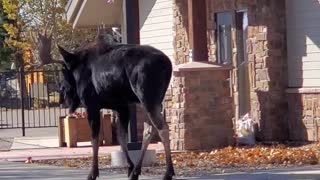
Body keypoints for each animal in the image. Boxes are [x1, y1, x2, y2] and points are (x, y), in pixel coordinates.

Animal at [57, 30, 175, 179]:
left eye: (63, 70)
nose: (61, 90)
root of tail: (168, 65)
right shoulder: (121, 106)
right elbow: (121, 137)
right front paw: (129, 166)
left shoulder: (91, 105)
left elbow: (94, 138)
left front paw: (93, 172)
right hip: (151, 101)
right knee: (149, 129)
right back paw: (136, 171)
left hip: (147, 98)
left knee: (162, 128)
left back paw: (168, 172)